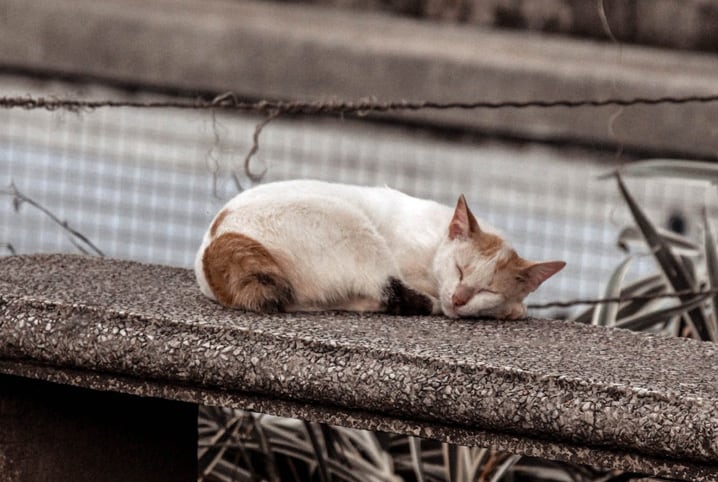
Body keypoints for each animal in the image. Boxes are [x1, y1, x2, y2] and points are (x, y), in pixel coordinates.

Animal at [197, 179, 568, 318]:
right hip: (355, 229)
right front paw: (513, 309)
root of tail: (218, 239)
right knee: (391, 291)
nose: (459, 298)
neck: (435, 241)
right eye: (459, 269)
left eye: (488, 289)